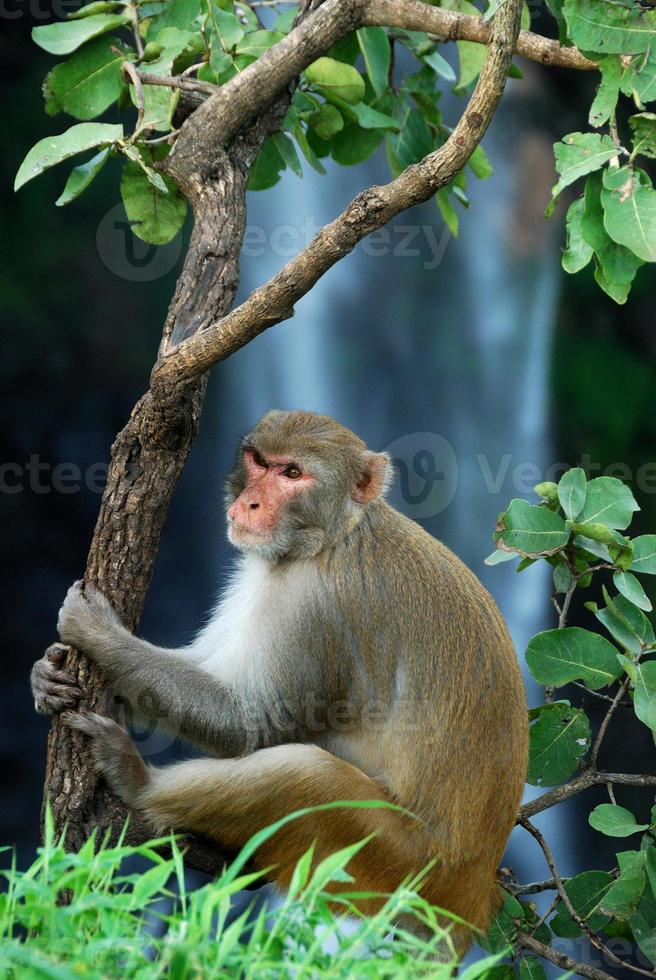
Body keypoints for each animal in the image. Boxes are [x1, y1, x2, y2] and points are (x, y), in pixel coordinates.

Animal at [30, 410, 528, 952]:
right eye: (259, 461)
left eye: (292, 474)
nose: (250, 501)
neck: (333, 533)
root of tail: (469, 895)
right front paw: (46, 675)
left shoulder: (315, 601)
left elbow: (250, 724)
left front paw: (97, 633)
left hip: (394, 860)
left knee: (306, 774)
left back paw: (139, 784)